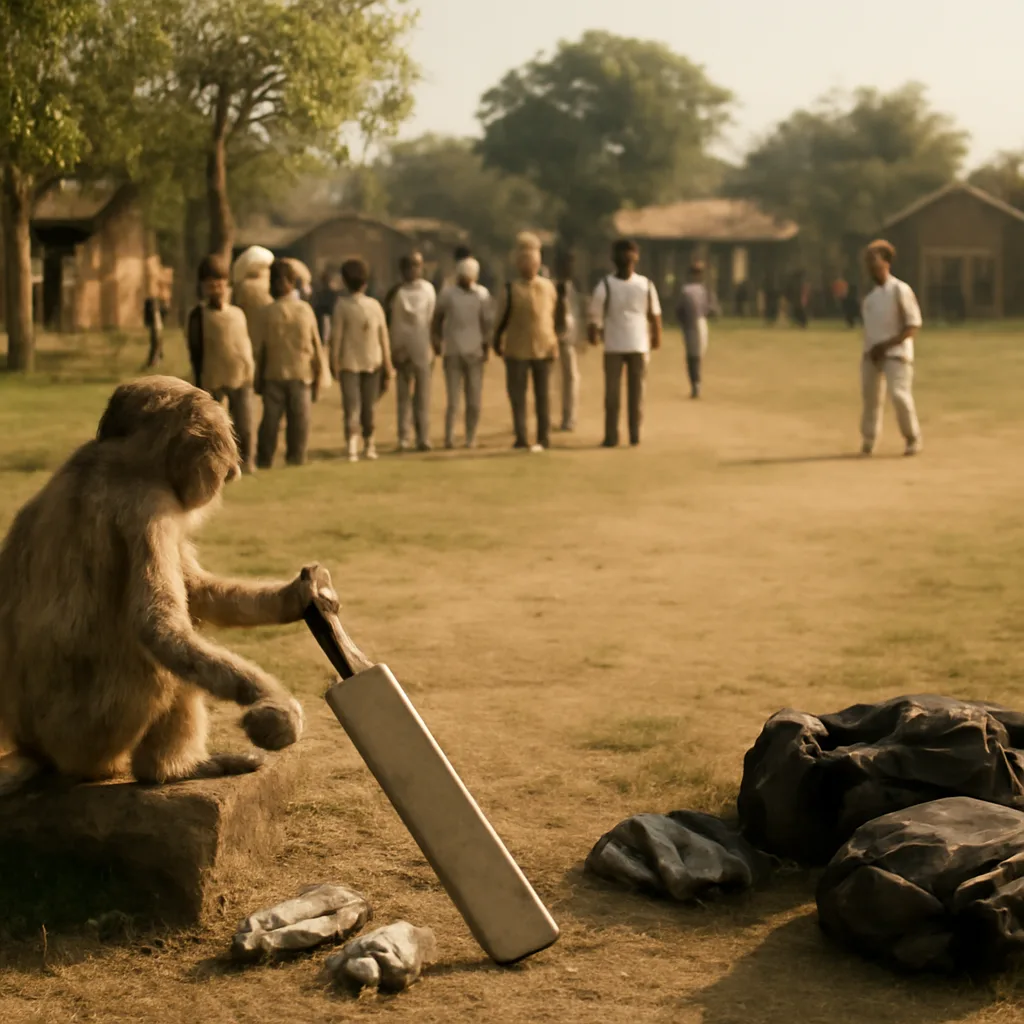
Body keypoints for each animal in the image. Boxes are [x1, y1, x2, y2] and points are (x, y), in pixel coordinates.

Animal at [0, 375, 339, 796]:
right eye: (223, 446)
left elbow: (197, 590)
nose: (234, 472)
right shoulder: (150, 504)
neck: (116, 458)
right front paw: (273, 704)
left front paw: (299, 595)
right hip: (89, 739)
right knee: (162, 667)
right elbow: (159, 626)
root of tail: (34, 747)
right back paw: (171, 769)